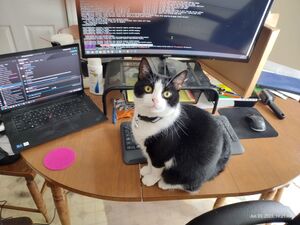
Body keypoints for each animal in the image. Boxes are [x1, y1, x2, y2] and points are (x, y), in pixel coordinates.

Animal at [131, 58, 230, 192]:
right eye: (148, 89)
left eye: (167, 94)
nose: (155, 100)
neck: (150, 120)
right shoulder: (149, 150)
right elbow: (150, 161)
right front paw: (147, 170)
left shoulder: (161, 151)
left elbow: (156, 167)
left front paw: (151, 179)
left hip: (192, 169)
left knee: (193, 185)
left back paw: (166, 184)